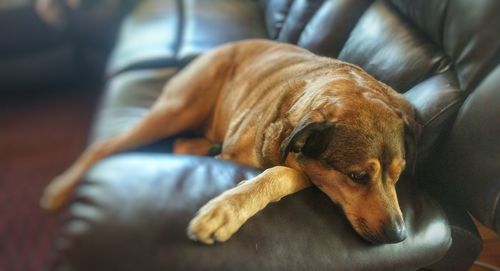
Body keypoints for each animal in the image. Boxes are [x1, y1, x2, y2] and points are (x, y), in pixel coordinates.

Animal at [41, 39, 420, 246]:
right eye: (357, 177)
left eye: (399, 175)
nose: (399, 236)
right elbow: (273, 172)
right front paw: (222, 210)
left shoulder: (300, 163)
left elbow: (281, 173)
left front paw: (227, 207)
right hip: (179, 107)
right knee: (105, 146)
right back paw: (59, 191)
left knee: (180, 144)